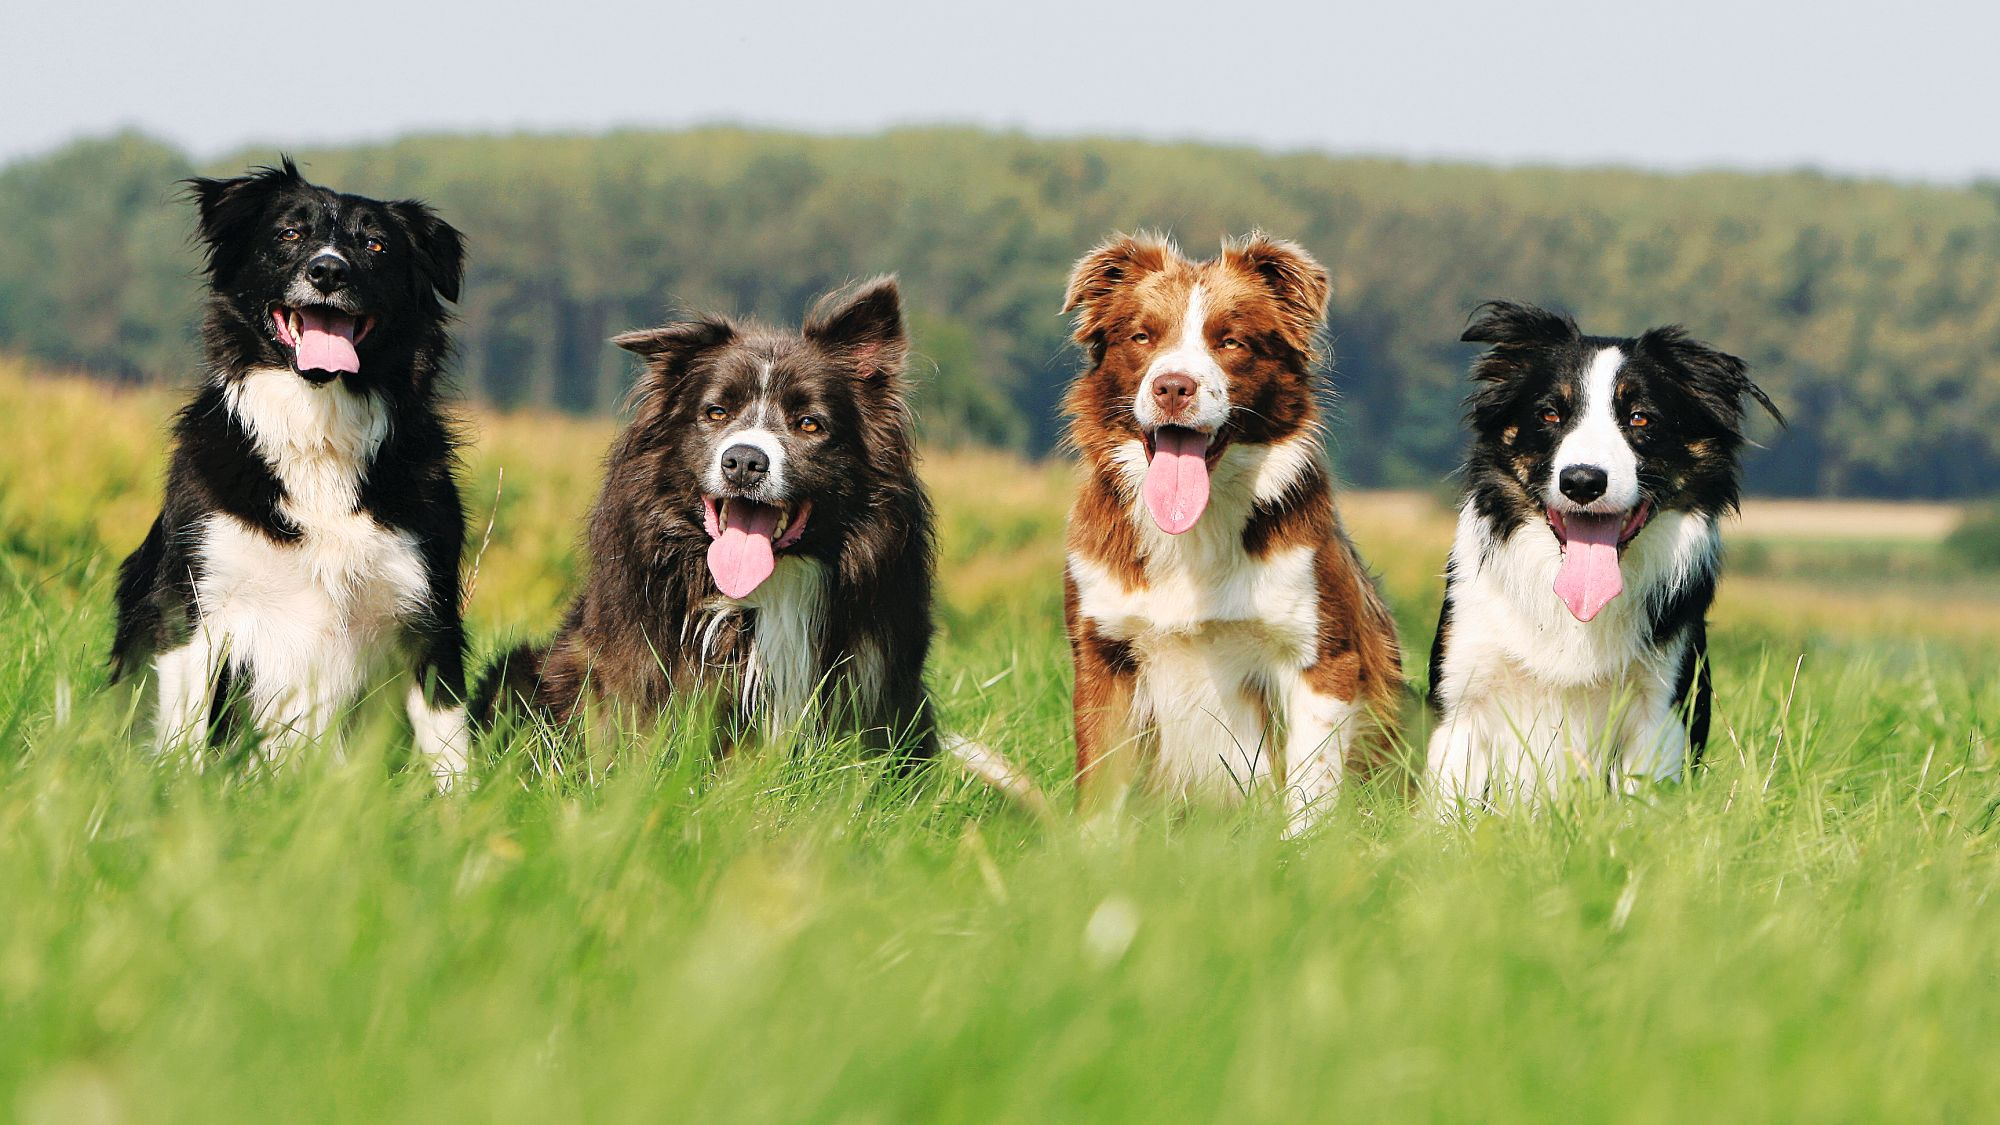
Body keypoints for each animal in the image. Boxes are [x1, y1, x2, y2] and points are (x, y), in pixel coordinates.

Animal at [1056, 232, 1400, 832]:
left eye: (1231, 342)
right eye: (1142, 336)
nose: (1173, 387)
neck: (1194, 533)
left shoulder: (1323, 655)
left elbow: (1308, 789)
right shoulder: (1104, 649)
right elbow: (1101, 783)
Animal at [1424, 298, 1784, 804]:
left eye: (1640, 418)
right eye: (1550, 414)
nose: (1582, 481)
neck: (1574, 614)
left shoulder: (1660, 709)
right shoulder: (1463, 702)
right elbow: (1449, 809)